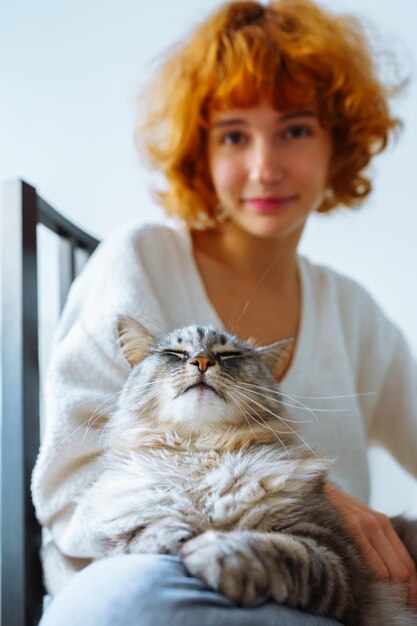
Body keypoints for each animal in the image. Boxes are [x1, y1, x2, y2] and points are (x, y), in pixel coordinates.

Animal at [79, 316, 416, 624]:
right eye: (175, 353)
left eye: (229, 355)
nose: (202, 360)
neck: (201, 455)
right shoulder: (119, 537)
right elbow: (141, 534)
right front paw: (173, 536)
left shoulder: (335, 556)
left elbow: (273, 549)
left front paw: (215, 553)